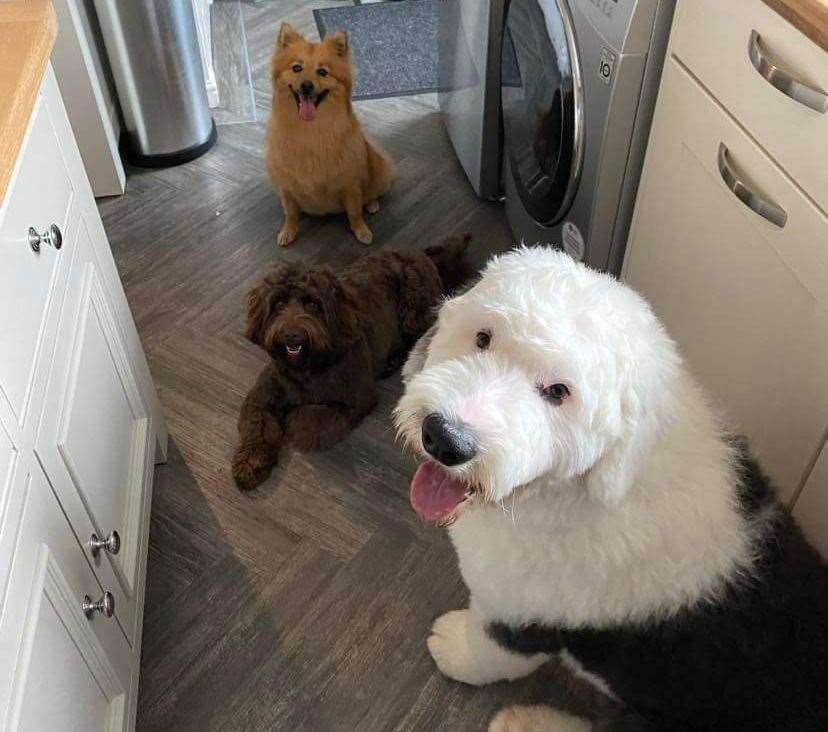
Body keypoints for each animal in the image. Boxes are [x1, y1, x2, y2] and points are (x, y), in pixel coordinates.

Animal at [230, 233, 472, 492]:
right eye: (278, 304)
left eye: (313, 304)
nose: (292, 335)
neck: (306, 368)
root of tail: (421, 253)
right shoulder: (261, 396)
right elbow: (256, 426)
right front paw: (250, 465)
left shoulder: (356, 398)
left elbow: (311, 419)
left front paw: (293, 421)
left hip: (414, 310)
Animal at [266, 23, 394, 246]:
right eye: (297, 68)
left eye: (322, 72)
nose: (306, 85)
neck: (310, 130)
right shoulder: (286, 186)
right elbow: (290, 212)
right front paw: (288, 231)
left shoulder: (350, 183)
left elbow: (354, 212)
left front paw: (361, 231)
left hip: (377, 169)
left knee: (371, 193)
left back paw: (371, 204)